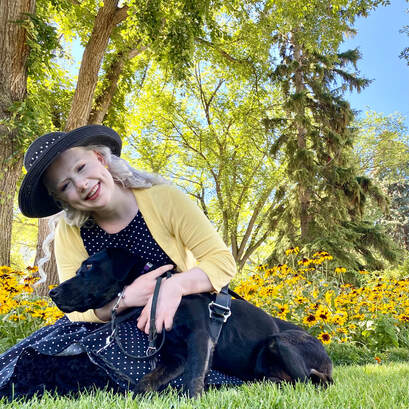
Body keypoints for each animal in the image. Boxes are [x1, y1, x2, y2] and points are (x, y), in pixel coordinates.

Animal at [50, 247, 332, 396]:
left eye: (88, 267)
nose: (53, 292)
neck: (156, 291)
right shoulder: (174, 356)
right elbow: (148, 380)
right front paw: (138, 395)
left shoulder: (200, 338)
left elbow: (194, 375)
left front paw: (193, 398)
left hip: (279, 342)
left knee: (309, 382)